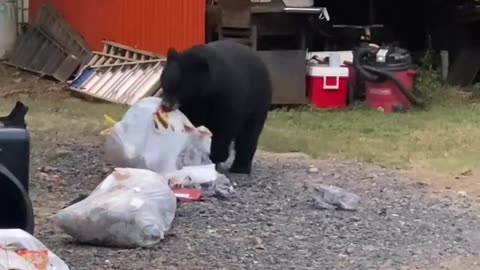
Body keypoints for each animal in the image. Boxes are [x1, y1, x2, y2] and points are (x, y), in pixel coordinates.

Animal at [159, 40, 272, 175]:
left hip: (258, 101)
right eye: (164, 82)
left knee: (249, 134)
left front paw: (215, 157)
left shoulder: (226, 97)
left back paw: (240, 168)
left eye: (180, 87)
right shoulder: (191, 106)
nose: (165, 106)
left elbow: (224, 126)